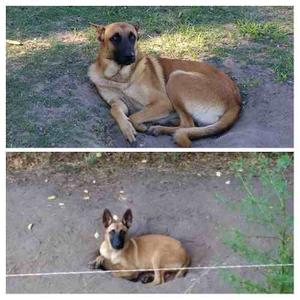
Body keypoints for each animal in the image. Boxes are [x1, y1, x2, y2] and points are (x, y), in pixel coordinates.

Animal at [88, 21, 240, 147]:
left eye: (133, 37)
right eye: (115, 38)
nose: (131, 56)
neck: (120, 78)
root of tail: (236, 101)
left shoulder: (162, 102)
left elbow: (134, 116)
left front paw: (139, 126)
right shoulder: (117, 102)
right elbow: (115, 110)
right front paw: (127, 128)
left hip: (176, 78)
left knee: (188, 124)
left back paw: (159, 128)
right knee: (190, 124)